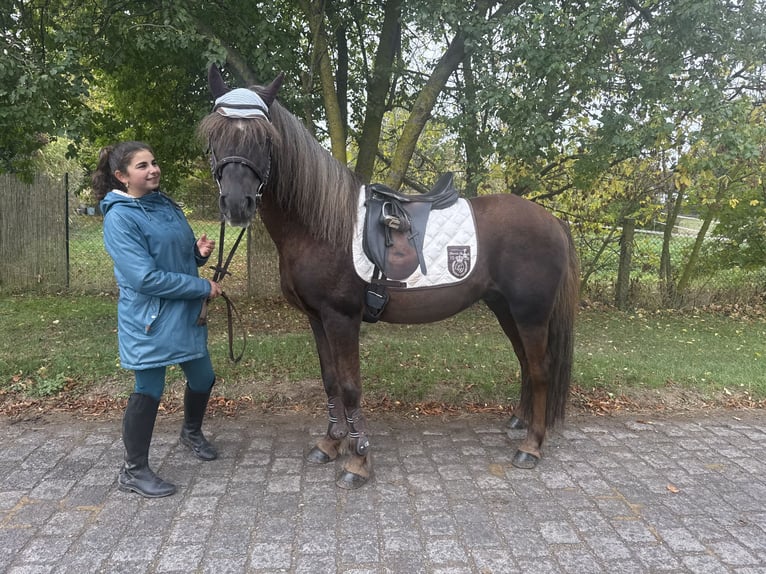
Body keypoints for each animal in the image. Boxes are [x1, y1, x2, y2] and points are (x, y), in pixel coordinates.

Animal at [198, 65, 580, 489]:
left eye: (265, 138)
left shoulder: (342, 318)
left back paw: (532, 445)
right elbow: (330, 381)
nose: (236, 204)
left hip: (531, 312)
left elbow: (350, 388)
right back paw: (521, 423)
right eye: (214, 134)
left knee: (541, 369)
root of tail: (552, 220)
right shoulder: (317, 318)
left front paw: (358, 460)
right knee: (526, 363)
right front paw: (331, 444)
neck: (320, 225)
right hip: (505, 308)